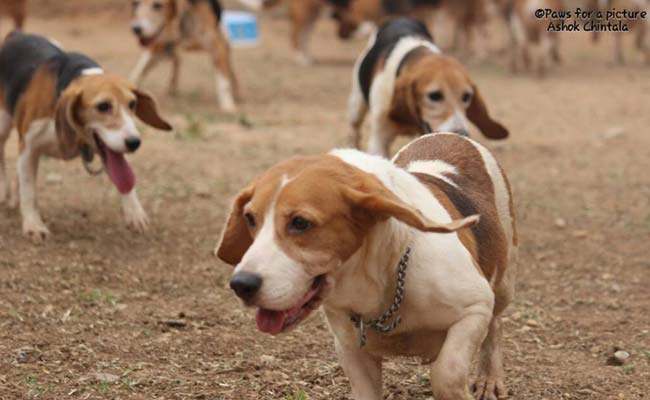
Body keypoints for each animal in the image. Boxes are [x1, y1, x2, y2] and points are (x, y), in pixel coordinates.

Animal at [0, 32, 172, 239]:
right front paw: (33, 224)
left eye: (132, 104)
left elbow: (125, 178)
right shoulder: (29, 147)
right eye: (103, 106)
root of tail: (16, 34)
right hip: (2, 124)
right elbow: (28, 190)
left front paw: (134, 210)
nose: (134, 143)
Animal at [346, 18, 508, 157]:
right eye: (434, 95)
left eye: (467, 97)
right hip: (356, 106)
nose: (461, 134)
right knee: (355, 130)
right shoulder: (379, 140)